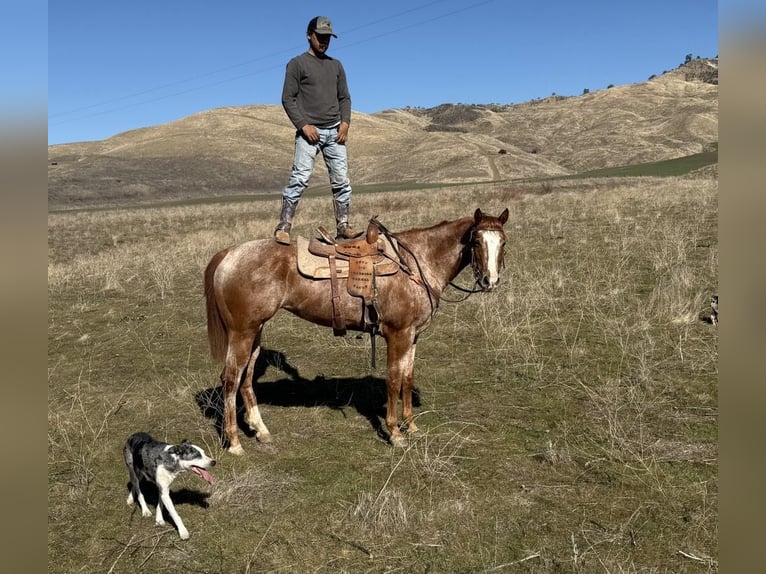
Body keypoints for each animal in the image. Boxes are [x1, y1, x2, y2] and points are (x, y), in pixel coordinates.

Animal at [204, 208, 509, 454]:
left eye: (503, 242)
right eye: (477, 241)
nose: (490, 281)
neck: (416, 263)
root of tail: (229, 254)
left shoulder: (413, 336)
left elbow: (408, 379)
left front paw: (412, 427)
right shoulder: (398, 335)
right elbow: (394, 380)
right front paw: (395, 433)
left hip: (255, 332)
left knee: (246, 378)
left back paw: (261, 430)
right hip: (242, 332)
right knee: (230, 379)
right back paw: (234, 442)